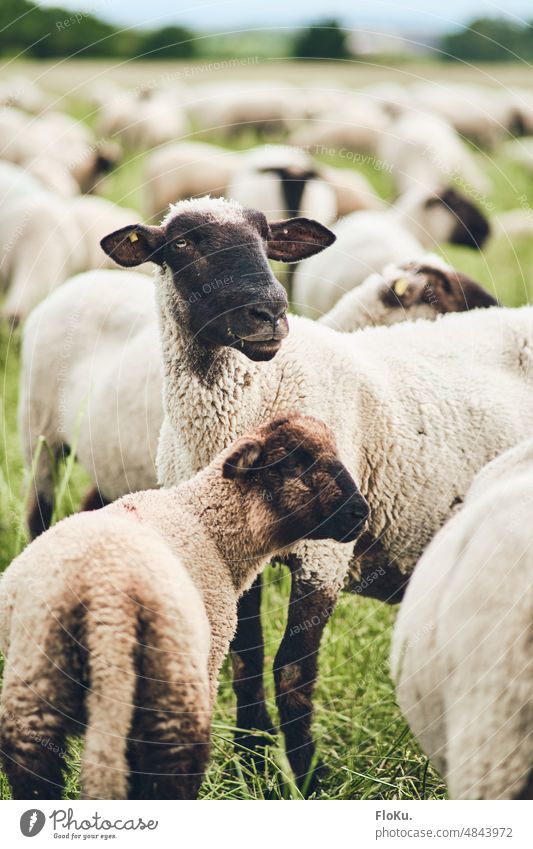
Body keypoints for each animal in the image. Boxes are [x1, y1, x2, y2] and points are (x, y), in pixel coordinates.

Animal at [0, 414, 366, 800]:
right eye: (296, 462)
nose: (361, 512)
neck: (209, 525)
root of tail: (104, 596)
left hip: (35, 676)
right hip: (175, 685)